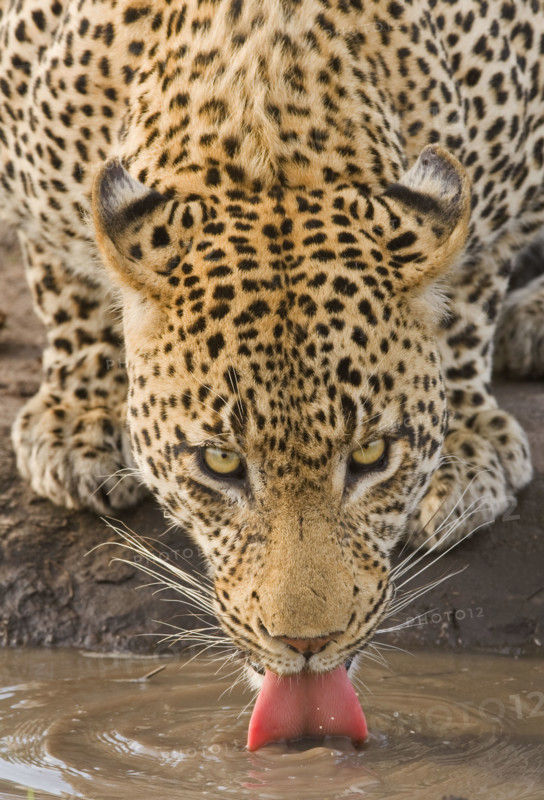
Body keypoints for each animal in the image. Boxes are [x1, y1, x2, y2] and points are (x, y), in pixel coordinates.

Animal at [1, 0, 543, 746]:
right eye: (221, 464)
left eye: (371, 456)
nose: (307, 644)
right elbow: (63, 273)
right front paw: (76, 419)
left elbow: (473, 282)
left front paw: (464, 450)